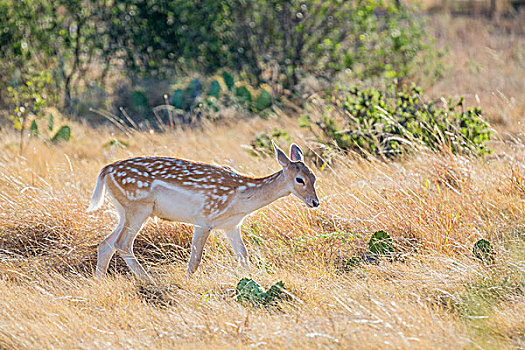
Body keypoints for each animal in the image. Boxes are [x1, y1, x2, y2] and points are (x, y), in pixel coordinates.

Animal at [85, 141, 320, 280]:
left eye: (314, 177)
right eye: (299, 180)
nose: (315, 202)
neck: (241, 198)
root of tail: (105, 171)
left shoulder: (231, 225)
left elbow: (243, 256)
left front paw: (253, 280)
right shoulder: (204, 218)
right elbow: (195, 260)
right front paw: (187, 281)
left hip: (124, 210)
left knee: (106, 244)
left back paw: (100, 282)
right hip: (138, 207)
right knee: (122, 244)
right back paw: (149, 280)